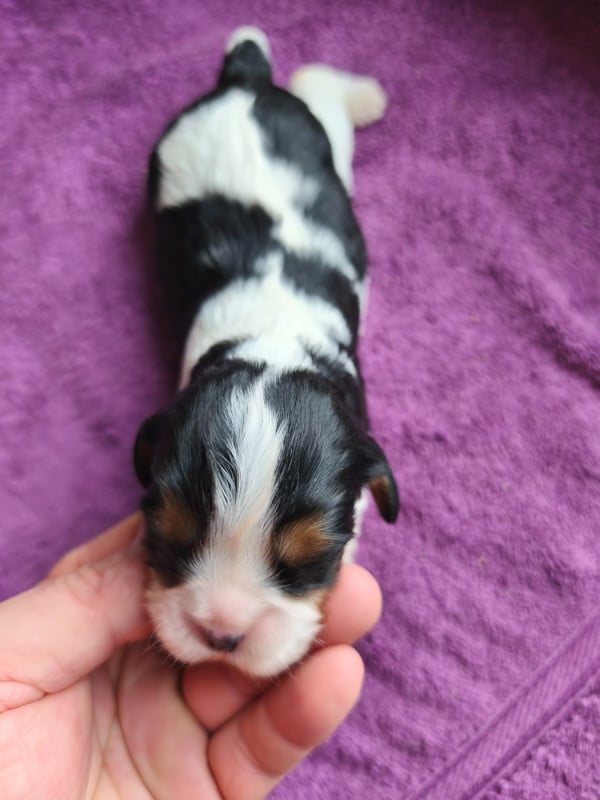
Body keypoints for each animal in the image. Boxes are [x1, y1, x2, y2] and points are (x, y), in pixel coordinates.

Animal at [134, 27, 398, 677]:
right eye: (167, 535)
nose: (222, 634)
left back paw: (365, 96)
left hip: (317, 141)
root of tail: (242, 84)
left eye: (309, 559)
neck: (275, 340)